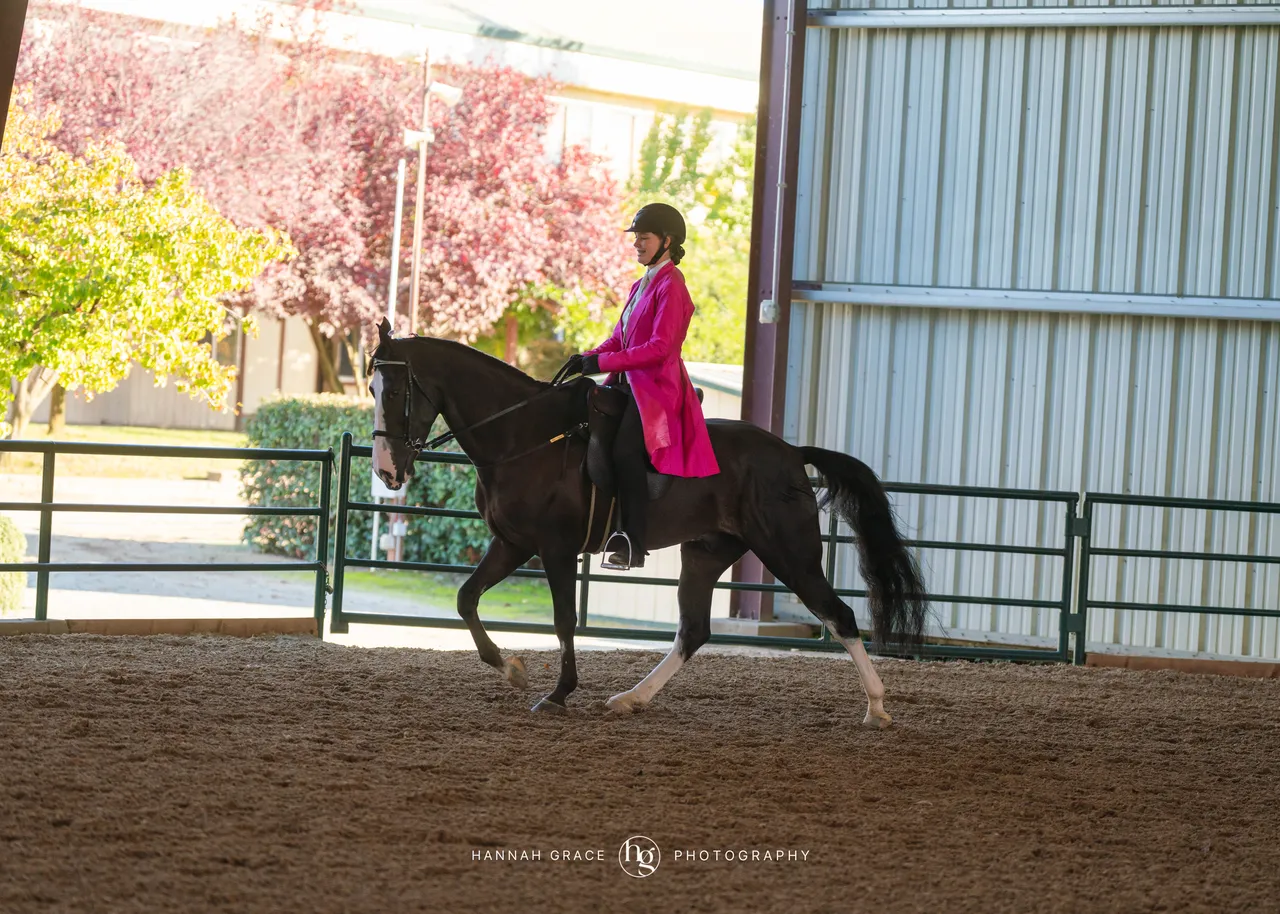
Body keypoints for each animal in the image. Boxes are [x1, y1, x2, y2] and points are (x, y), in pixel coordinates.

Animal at [368, 319, 927, 728]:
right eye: (372, 387)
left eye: (393, 392)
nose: (387, 471)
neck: (523, 436)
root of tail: (791, 452)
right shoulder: (511, 543)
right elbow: (466, 599)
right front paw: (512, 669)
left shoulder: (553, 547)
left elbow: (564, 620)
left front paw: (557, 693)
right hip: (705, 553)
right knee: (694, 631)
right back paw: (631, 699)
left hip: (790, 553)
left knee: (840, 616)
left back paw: (877, 707)